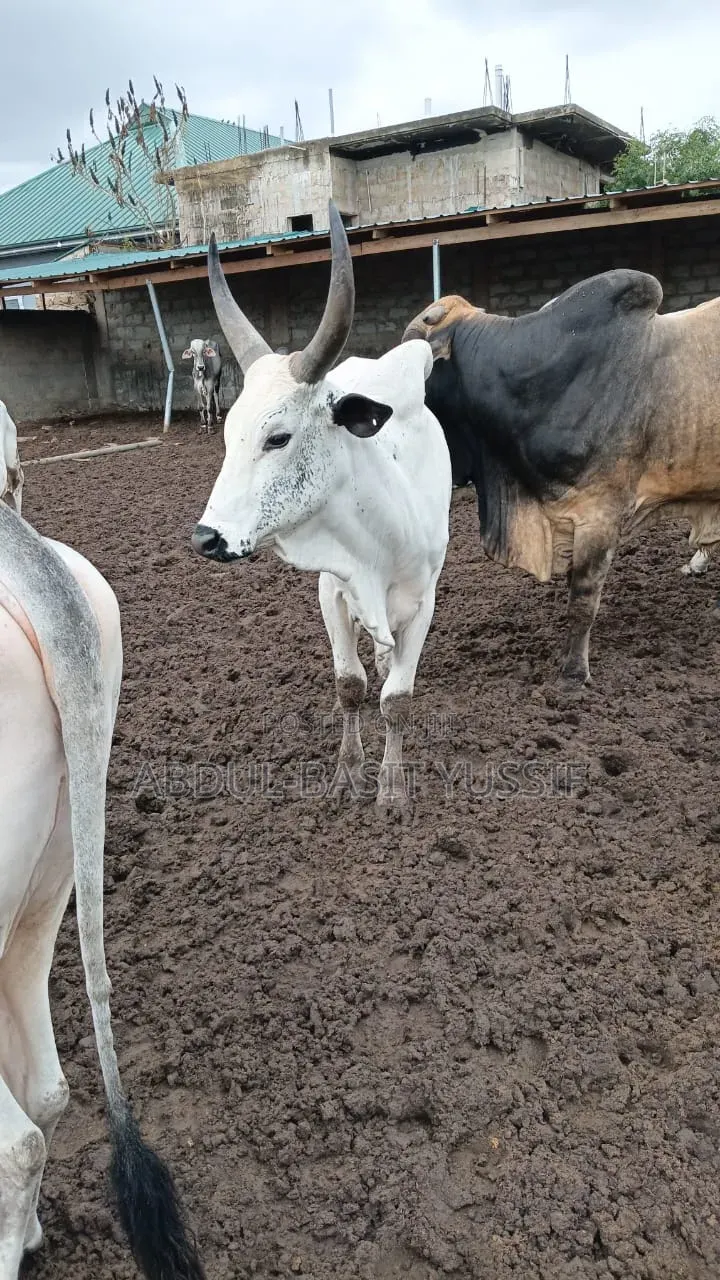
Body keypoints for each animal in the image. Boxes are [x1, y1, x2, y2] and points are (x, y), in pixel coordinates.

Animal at [191, 202, 451, 810]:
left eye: (278, 438)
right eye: (228, 433)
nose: (207, 537)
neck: (378, 542)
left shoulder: (423, 602)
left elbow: (397, 699)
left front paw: (392, 789)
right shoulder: (332, 590)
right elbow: (350, 687)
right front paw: (347, 774)